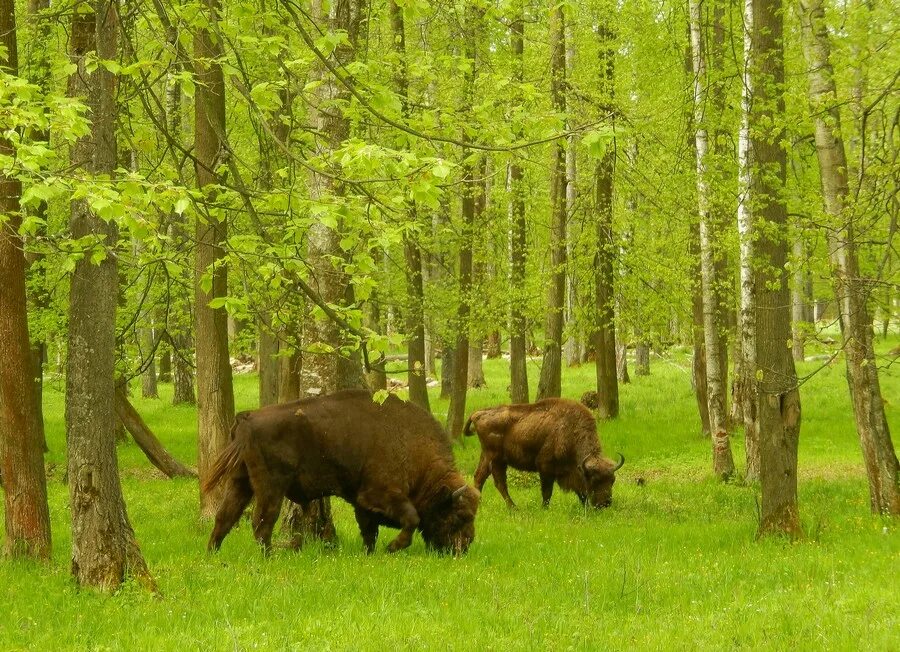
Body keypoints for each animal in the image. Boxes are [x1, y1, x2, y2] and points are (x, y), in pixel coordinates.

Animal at [204, 388, 482, 556]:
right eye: (460, 516)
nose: (464, 547)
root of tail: (247, 418)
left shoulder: (364, 503)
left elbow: (370, 530)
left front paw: (371, 553)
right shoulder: (379, 494)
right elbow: (411, 518)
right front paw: (392, 547)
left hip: (240, 482)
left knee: (225, 517)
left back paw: (212, 554)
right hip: (270, 486)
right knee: (262, 522)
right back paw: (268, 558)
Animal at [468, 398, 624, 510]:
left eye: (612, 480)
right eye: (594, 480)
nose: (605, 503)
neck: (570, 430)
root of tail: (477, 413)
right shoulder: (545, 468)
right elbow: (547, 492)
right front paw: (544, 508)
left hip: (489, 457)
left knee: (480, 478)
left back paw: (480, 505)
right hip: (496, 459)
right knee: (499, 483)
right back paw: (513, 508)